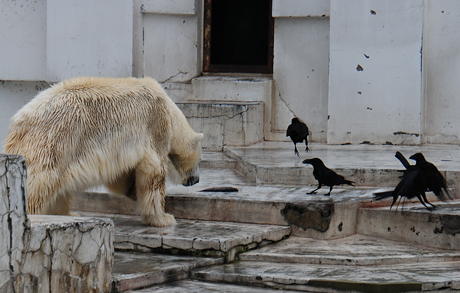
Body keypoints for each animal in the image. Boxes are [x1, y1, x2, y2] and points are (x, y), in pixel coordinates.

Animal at [3, 76, 201, 226]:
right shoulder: (155, 126)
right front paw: (165, 218)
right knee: (42, 180)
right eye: (199, 160)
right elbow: (154, 172)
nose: (196, 180)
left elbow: (121, 177)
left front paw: (134, 192)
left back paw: (67, 214)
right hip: (58, 137)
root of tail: (19, 122)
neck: (170, 110)